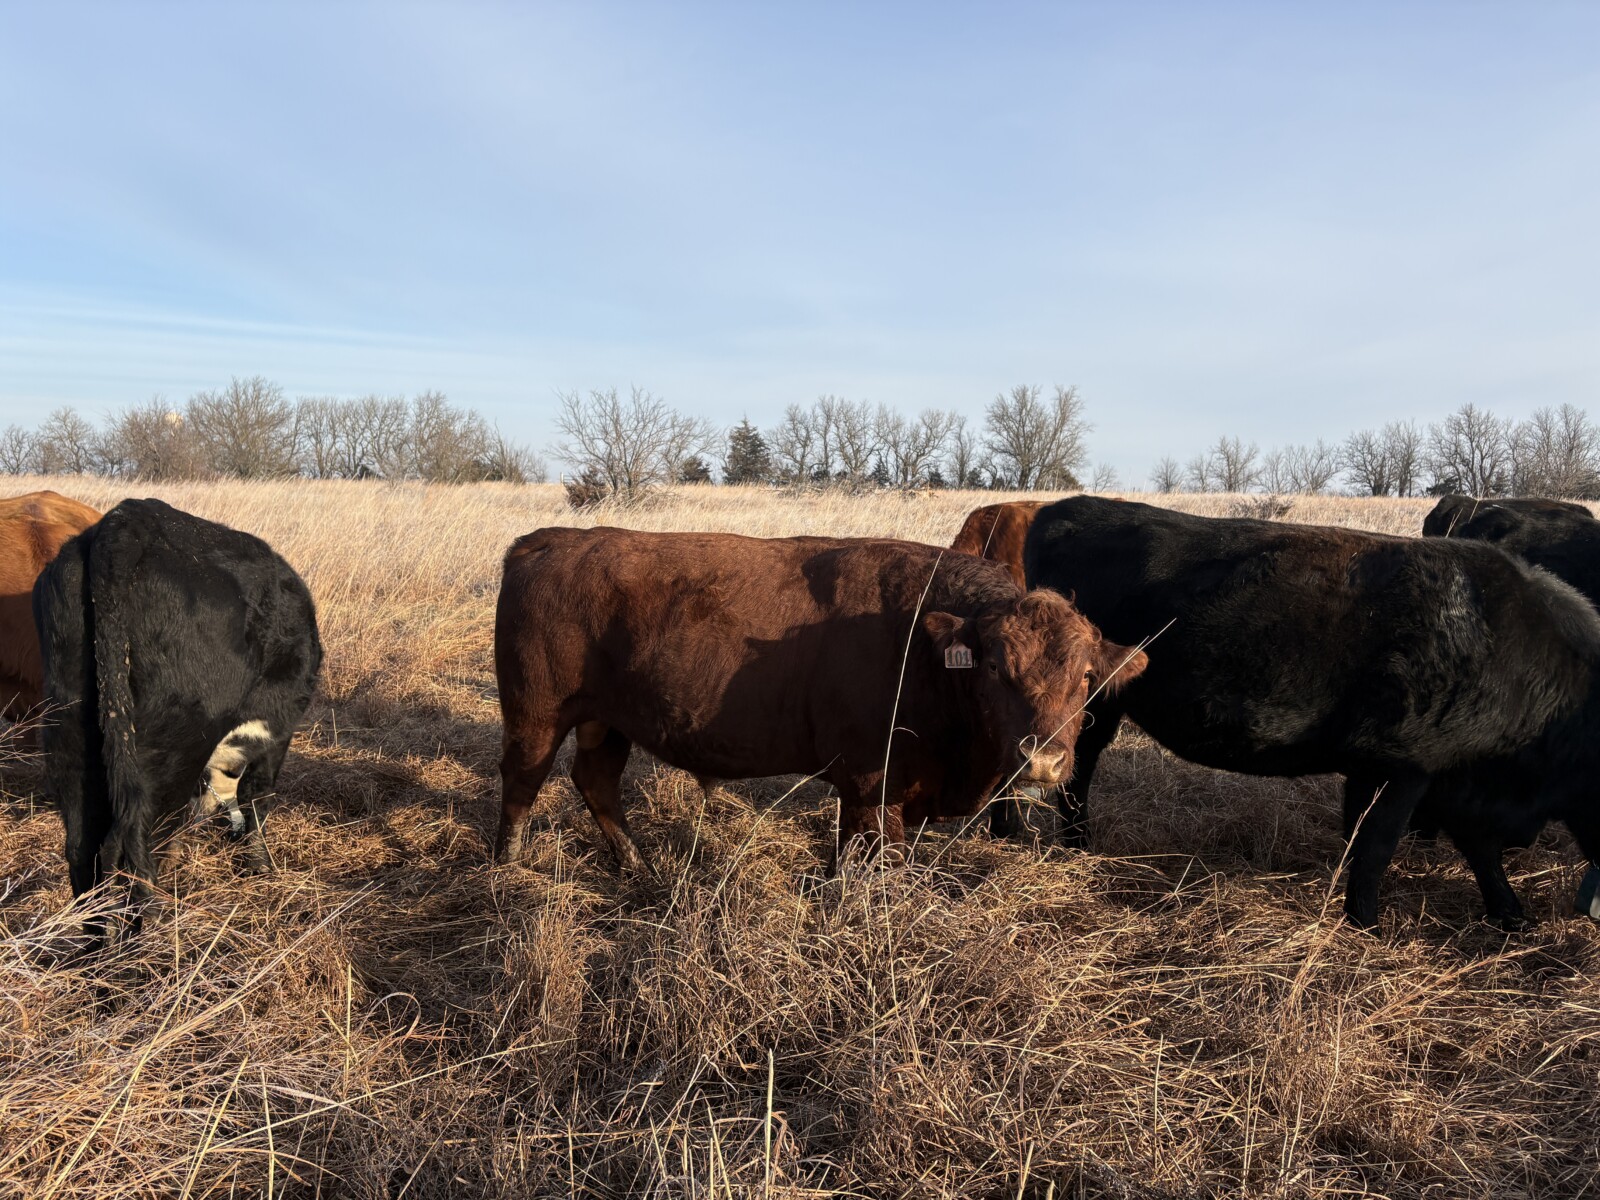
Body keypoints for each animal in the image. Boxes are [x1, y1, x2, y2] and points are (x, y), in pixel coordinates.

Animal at [33, 498, 322, 945]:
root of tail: (129, 520)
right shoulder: (275, 737)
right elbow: (256, 798)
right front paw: (260, 866)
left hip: (70, 731)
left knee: (83, 851)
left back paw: (97, 951)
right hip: (173, 750)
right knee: (135, 849)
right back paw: (150, 942)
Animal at [493, 527, 1148, 875]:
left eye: (1088, 675)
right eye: (991, 666)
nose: (1043, 761)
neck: (921, 642)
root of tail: (546, 540)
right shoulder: (871, 785)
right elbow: (878, 858)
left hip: (607, 722)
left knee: (595, 782)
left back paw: (637, 863)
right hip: (535, 718)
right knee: (522, 784)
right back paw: (508, 866)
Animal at [1024, 495, 1600, 929]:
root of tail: (1065, 508)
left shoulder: (1430, 776)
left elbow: (1453, 847)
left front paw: (1509, 914)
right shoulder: (1406, 767)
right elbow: (1378, 848)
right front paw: (1368, 925)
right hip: (1091, 708)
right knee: (1077, 771)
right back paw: (1079, 847)